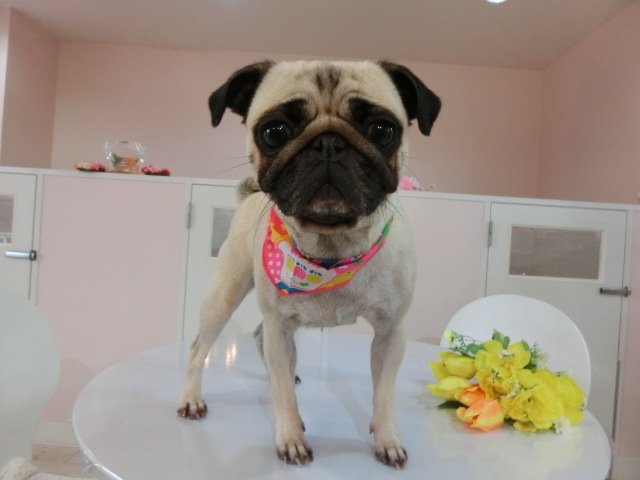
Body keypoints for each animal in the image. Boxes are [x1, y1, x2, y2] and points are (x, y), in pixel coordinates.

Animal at [177, 60, 440, 469]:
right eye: (274, 132)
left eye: (383, 130)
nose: (328, 144)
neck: (332, 247)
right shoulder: (280, 325)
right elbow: (284, 397)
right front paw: (291, 439)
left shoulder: (389, 333)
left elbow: (383, 394)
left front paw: (388, 439)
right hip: (224, 297)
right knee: (199, 349)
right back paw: (192, 397)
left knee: (260, 338)